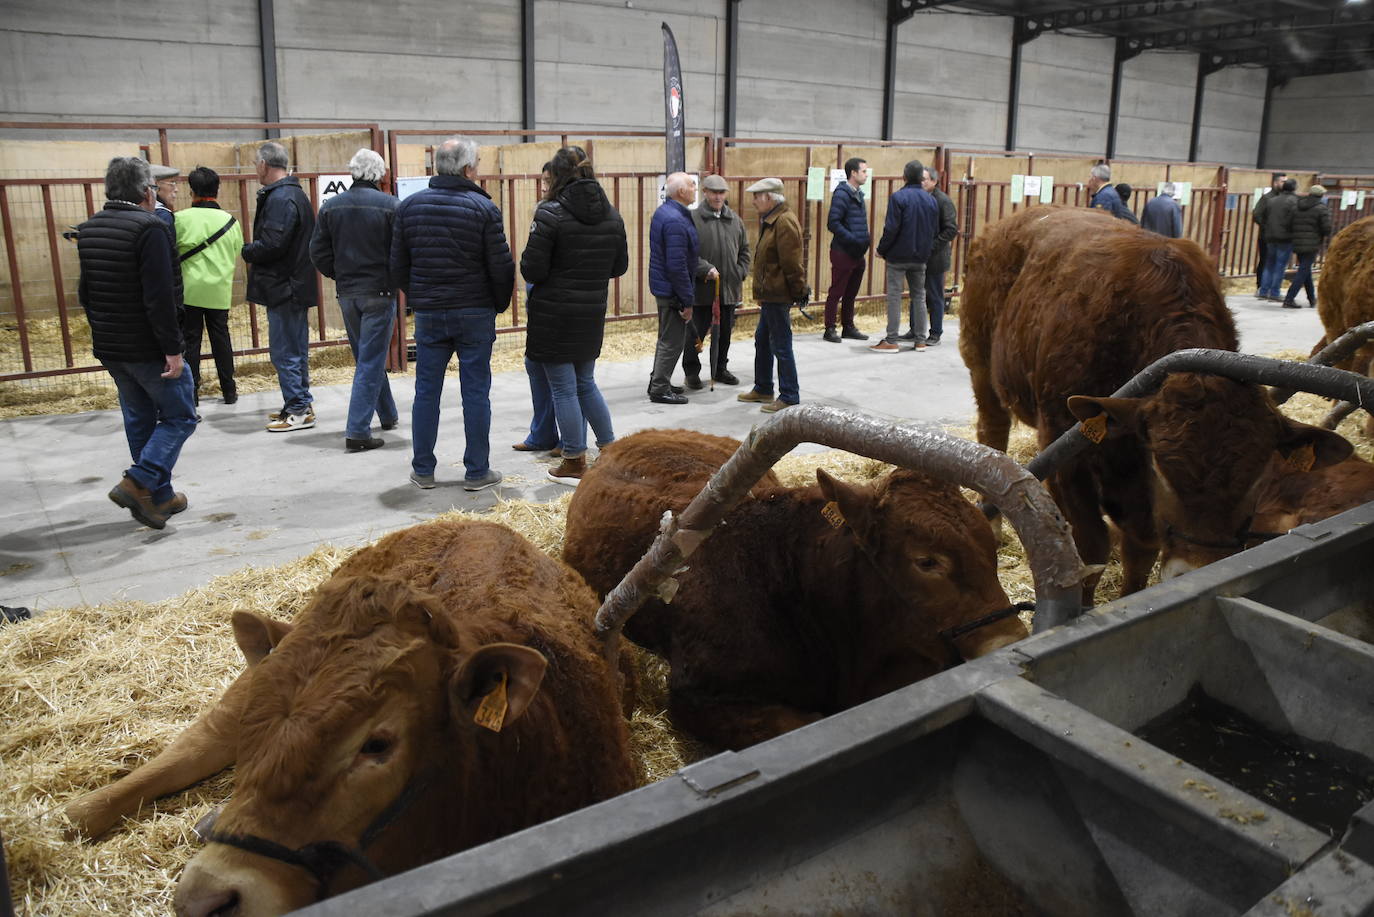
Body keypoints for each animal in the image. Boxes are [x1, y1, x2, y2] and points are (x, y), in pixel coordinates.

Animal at [961, 204, 1346, 602]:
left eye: (1258, 477)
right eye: (1162, 468)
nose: (1197, 568)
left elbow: (1140, 553)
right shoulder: (1066, 451)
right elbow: (1091, 547)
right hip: (981, 363)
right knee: (992, 432)